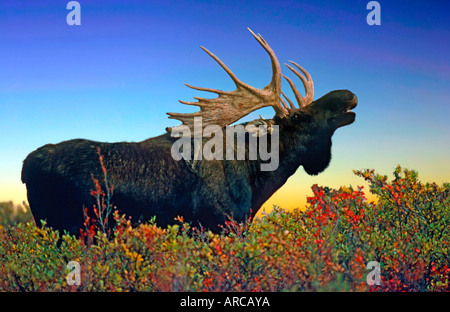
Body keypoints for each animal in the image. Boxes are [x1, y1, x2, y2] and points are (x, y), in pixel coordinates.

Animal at [22, 29, 358, 235]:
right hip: (70, 228)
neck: (258, 173)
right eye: (300, 115)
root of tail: (27, 164)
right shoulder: (216, 227)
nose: (348, 95)